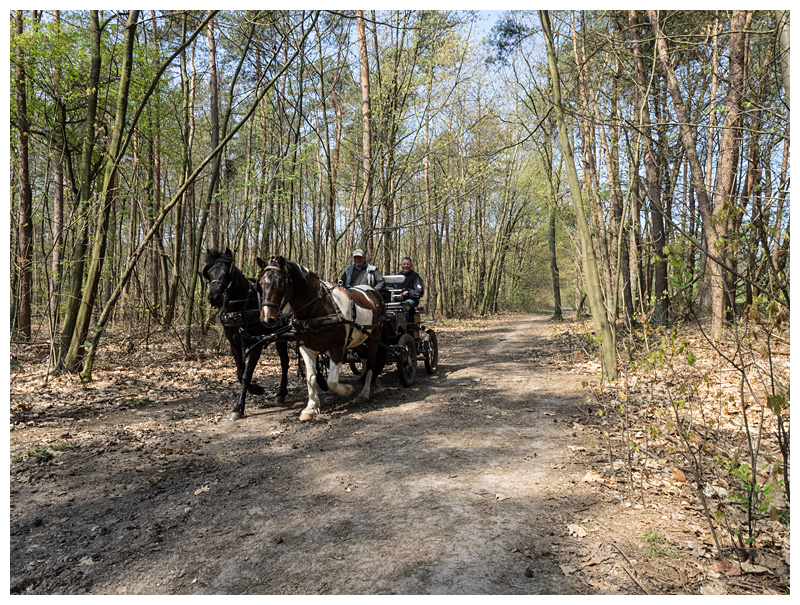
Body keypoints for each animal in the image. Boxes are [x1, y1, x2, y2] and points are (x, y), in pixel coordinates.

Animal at [203, 247, 290, 420]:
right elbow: (239, 374)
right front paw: (256, 389)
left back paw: (281, 393)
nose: (214, 298)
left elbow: (246, 374)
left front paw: (239, 407)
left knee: (285, 361)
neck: (241, 307)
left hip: (281, 337)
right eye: (209, 272)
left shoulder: (257, 343)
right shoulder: (235, 345)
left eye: (227, 272)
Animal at [258, 255, 386, 420]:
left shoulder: (337, 348)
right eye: (260, 283)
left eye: (280, 283)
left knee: (371, 362)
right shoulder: (306, 348)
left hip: (374, 337)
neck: (317, 310)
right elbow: (311, 378)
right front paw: (311, 408)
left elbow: (332, 381)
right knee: (363, 357)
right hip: (358, 338)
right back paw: (363, 379)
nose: (267, 319)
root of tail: (374, 293)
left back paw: (364, 392)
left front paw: (349, 390)